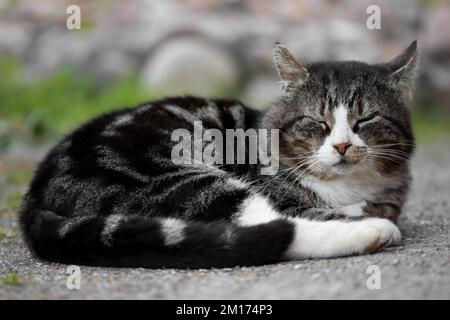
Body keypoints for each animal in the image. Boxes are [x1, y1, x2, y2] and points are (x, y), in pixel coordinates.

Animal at [19, 41, 416, 268]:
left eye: (365, 119)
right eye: (317, 121)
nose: (342, 145)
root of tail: (33, 197)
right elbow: (309, 209)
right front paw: (365, 216)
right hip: (183, 177)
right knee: (266, 226)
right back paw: (371, 231)